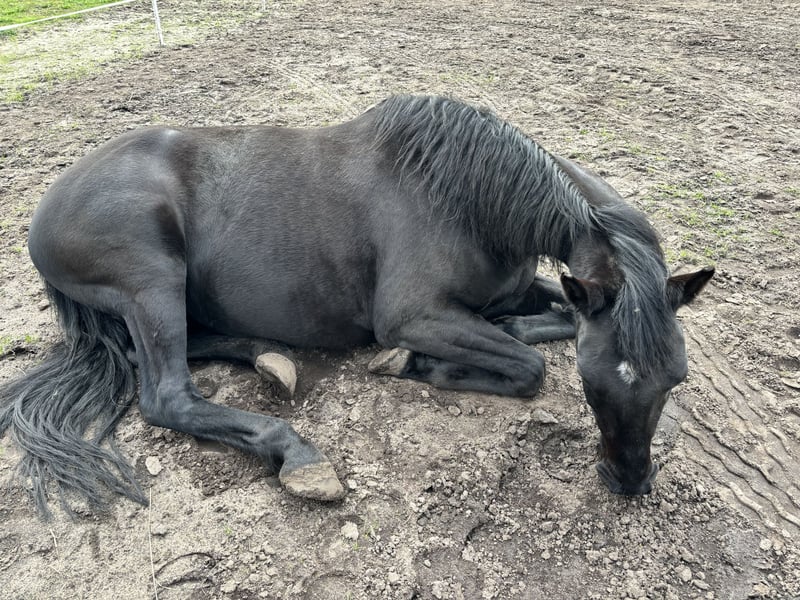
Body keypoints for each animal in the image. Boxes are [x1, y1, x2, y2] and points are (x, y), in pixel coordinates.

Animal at [0, 95, 713, 517]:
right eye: (595, 382)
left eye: (675, 379)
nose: (630, 480)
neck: (469, 198)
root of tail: (48, 207)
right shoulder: (413, 315)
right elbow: (527, 368)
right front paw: (412, 364)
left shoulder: (533, 290)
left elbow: (553, 320)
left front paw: (508, 325)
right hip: (152, 281)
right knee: (166, 395)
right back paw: (298, 454)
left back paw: (270, 360)